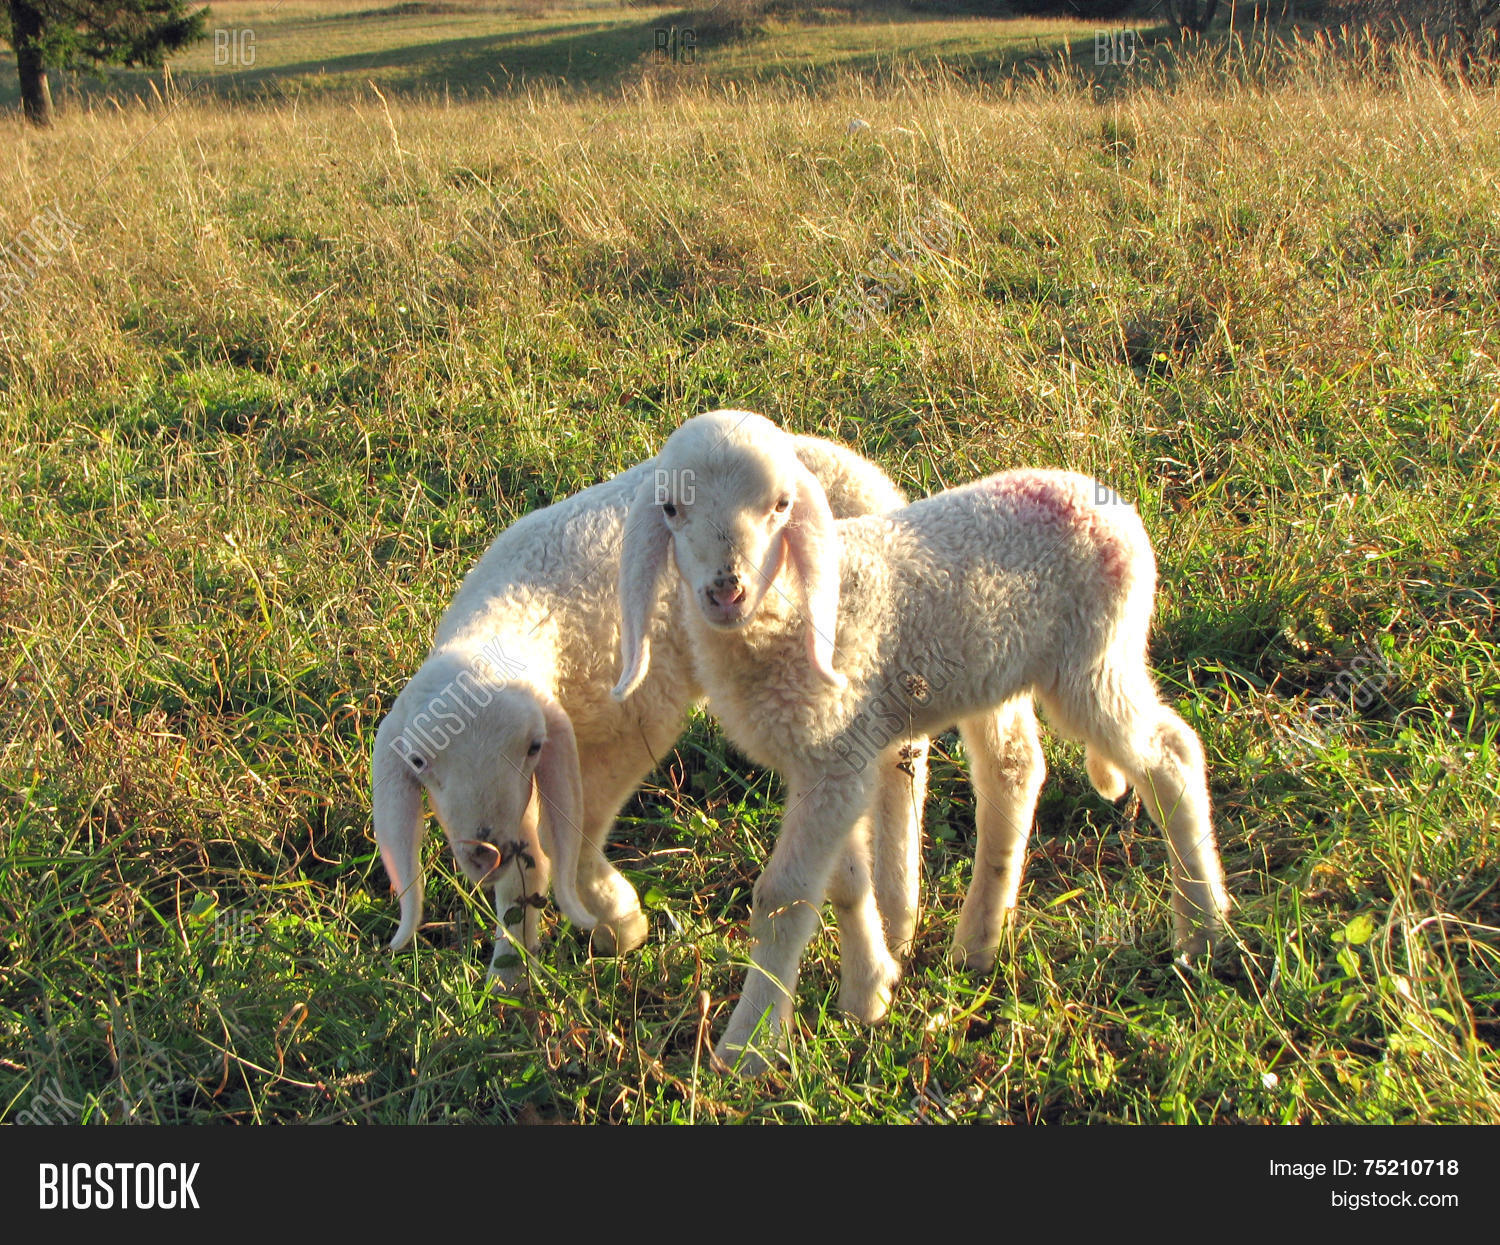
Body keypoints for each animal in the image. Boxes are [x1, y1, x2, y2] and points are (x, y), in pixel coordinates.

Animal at [372, 438, 929, 985]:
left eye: (530, 746)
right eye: (417, 763)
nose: (483, 852)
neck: (523, 598)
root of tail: (849, 459)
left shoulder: (635, 722)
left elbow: (571, 831)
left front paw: (619, 921)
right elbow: (527, 866)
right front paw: (510, 977)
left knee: (904, 765)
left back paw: (899, 909)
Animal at [612, 410, 1231, 1072]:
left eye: (781, 506)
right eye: (671, 509)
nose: (726, 591)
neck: (790, 608)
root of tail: (1111, 505)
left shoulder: (836, 752)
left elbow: (782, 898)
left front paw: (748, 1047)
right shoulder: (835, 760)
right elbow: (846, 881)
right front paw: (870, 991)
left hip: (1093, 660)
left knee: (1171, 757)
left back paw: (1203, 931)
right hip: (1002, 672)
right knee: (1015, 768)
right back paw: (978, 942)